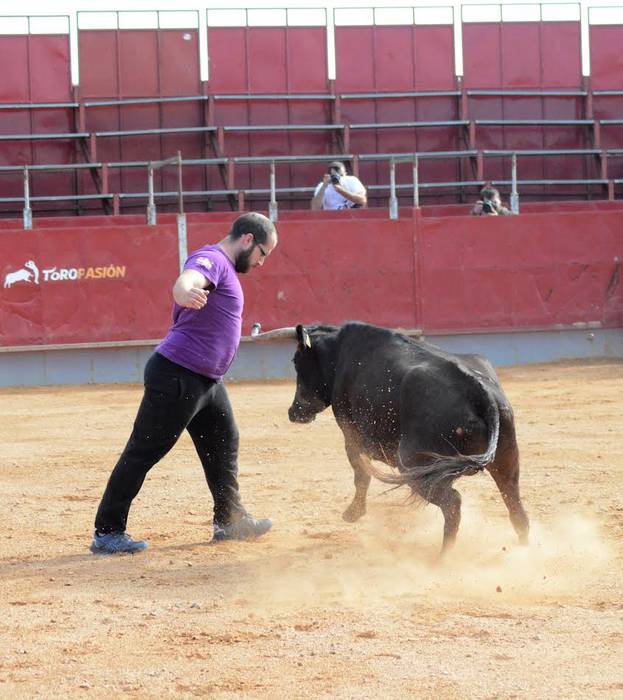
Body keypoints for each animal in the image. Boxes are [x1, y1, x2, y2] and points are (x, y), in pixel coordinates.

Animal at [286, 322, 528, 552]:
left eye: (297, 362)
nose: (293, 412)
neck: (338, 352)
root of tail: (480, 392)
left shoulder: (350, 433)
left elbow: (361, 474)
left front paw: (353, 513)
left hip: (413, 465)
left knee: (453, 503)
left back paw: (444, 556)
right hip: (505, 458)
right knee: (514, 502)